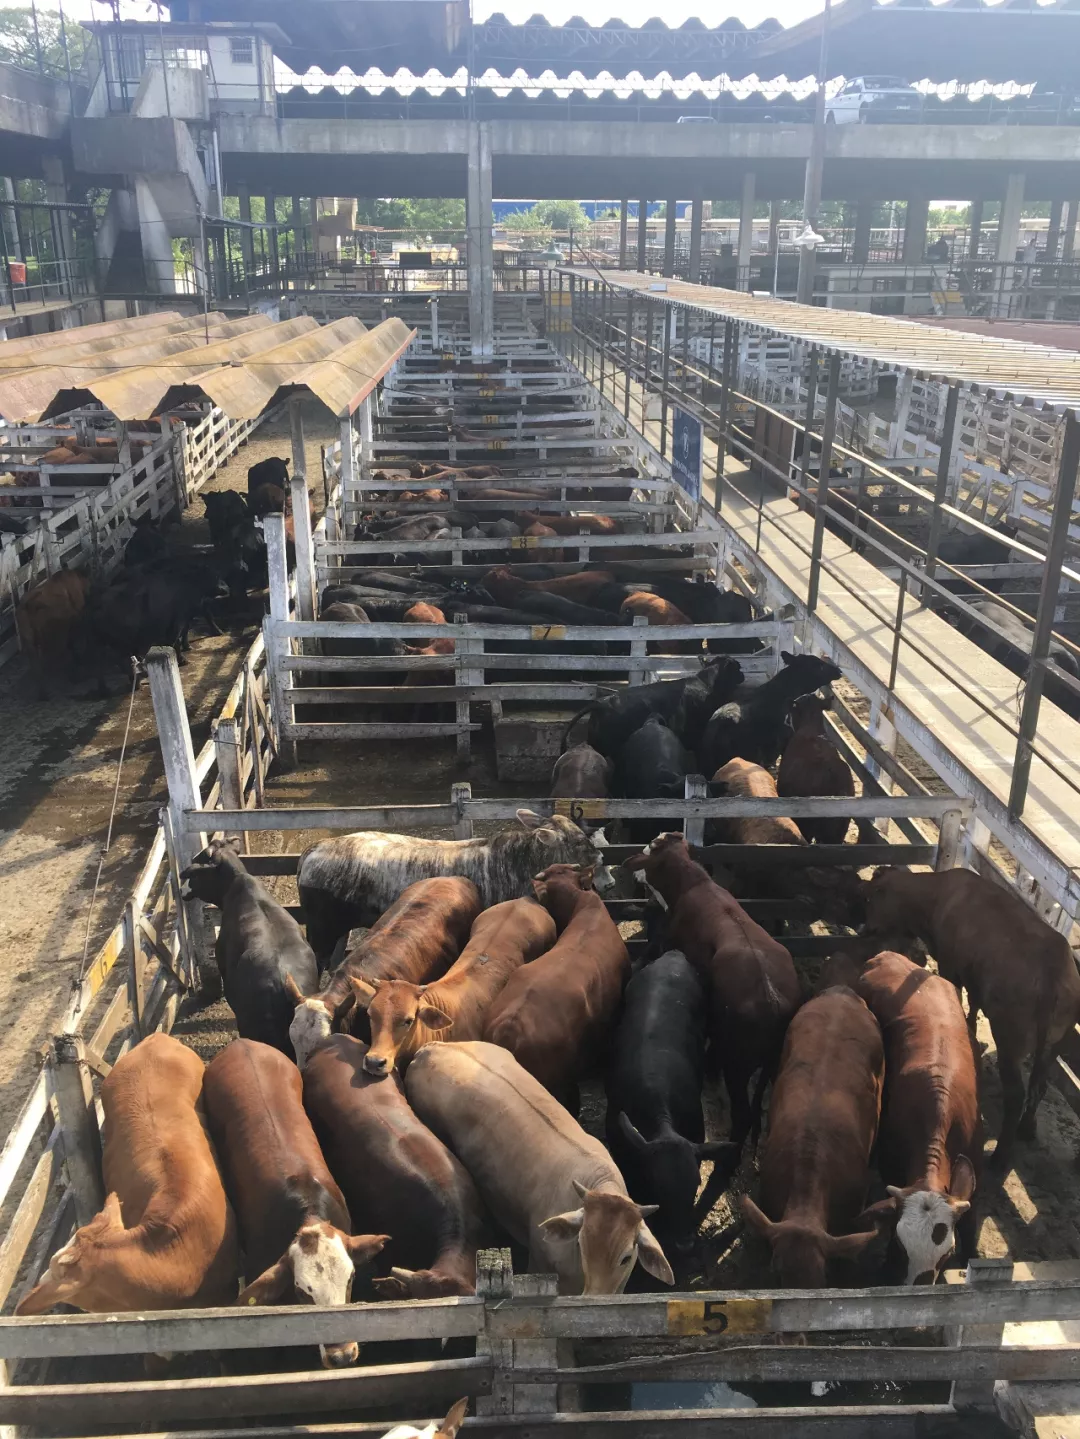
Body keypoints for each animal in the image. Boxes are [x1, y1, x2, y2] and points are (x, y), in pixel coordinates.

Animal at [624, 834, 801, 1147]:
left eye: (647, 849)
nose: (634, 871)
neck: (692, 886)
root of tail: (772, 998)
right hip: (771, 1061)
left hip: (738, 1064)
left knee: (742, 1115)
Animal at [865, 867, 1080, 1170]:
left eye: (872, 899)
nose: (866, 928)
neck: (936, 897)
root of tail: (1054, 976)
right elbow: (974, 1003)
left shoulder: (950, 965)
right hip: (1054, 1043)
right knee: (1039, 1084)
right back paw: (1027, 1129)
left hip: (1011, 1038)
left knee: (1016, 1095)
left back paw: (1001, 1156)